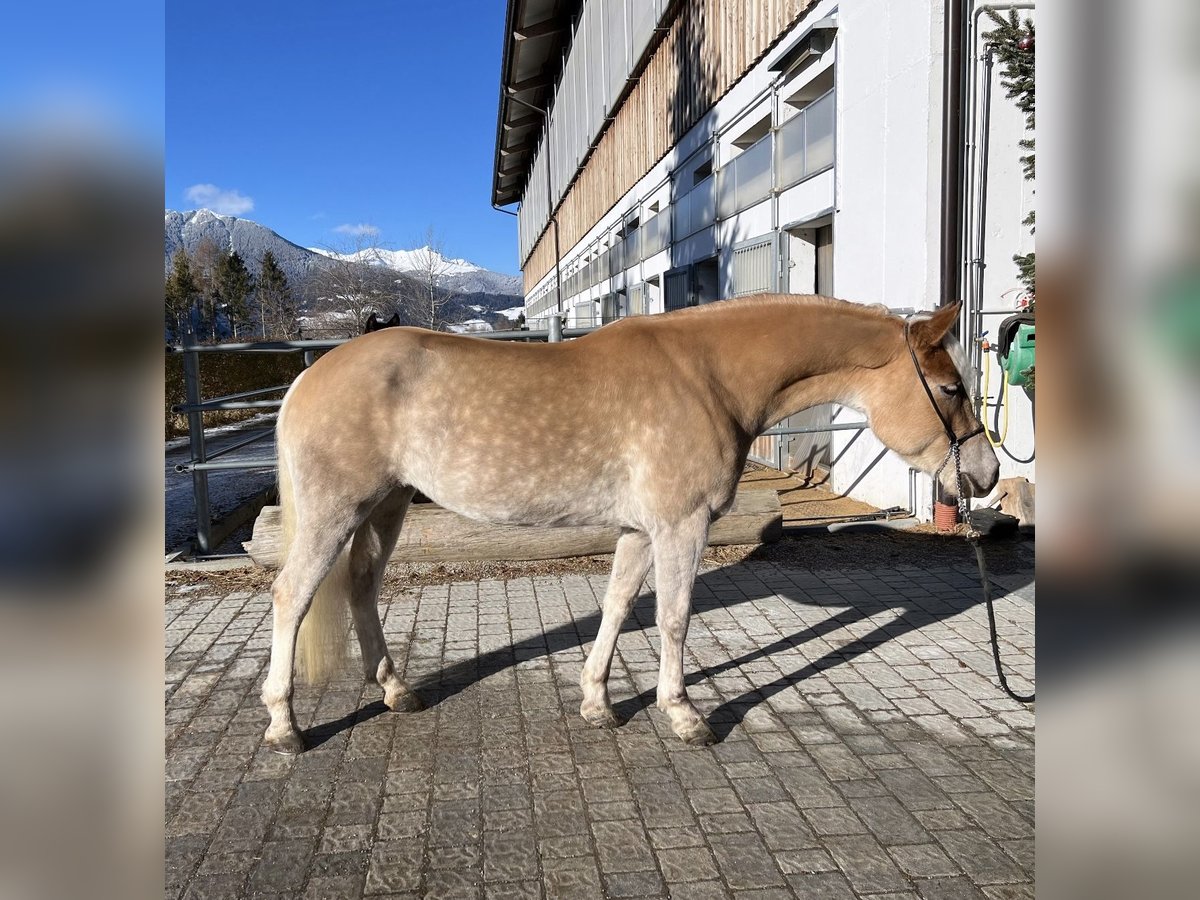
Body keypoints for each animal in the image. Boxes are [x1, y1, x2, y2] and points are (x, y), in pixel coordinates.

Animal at [265, 296, 1003, 753]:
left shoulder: (640, 530)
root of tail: (310, 376)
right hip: (337, 512)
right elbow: (674, 618)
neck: (708, 377)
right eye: (950, 389)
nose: (987, 475)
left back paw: (396, 691)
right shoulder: (682, 525)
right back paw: (284, 726)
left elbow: (619, 606)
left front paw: (597, 704)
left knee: (361, 586)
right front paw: (685, 716)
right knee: (292, 596)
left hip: (385, 506)